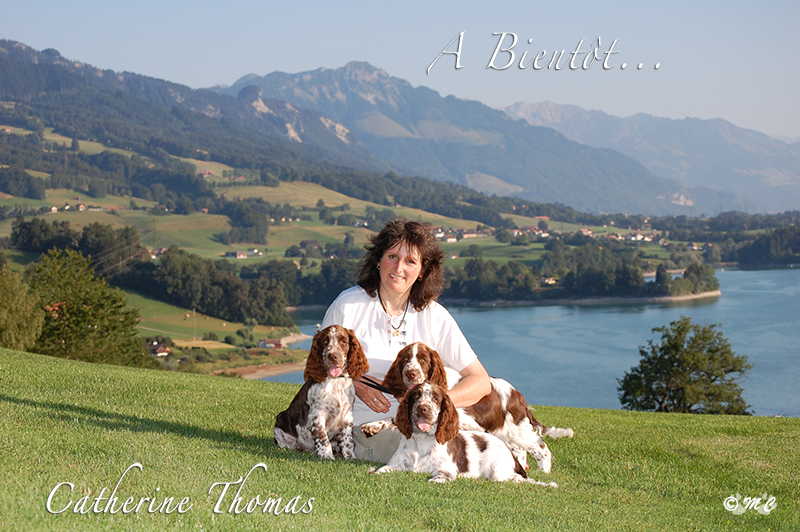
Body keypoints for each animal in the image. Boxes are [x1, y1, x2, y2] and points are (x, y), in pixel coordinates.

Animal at [272, 326, 366, 460]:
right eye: (325, 341)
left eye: (343, 341)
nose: (332, 356)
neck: (335, 380)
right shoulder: (317, 414)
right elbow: (322, 437)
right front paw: (326, 455)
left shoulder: (347, 415)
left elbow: (348, 439)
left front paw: (349, 457)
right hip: (280, 420)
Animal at [360, 342, 572, 472]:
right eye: (405, 359)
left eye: (423, 360)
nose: (410, 373)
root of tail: (519, 397)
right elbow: (396, 418)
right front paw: (372, 426)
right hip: (505, 433)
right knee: (520, 451)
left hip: (517, 431)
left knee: (541, 447)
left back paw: (544, 471)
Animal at [374, 382, 556, 486]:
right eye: (416, 396)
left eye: (435, 398)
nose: (422, 409)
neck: (422, 440)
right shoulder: (395, 464)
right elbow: (380, 470)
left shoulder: (446, 470)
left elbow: (438, 478)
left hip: (498, 469)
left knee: (520, 477)